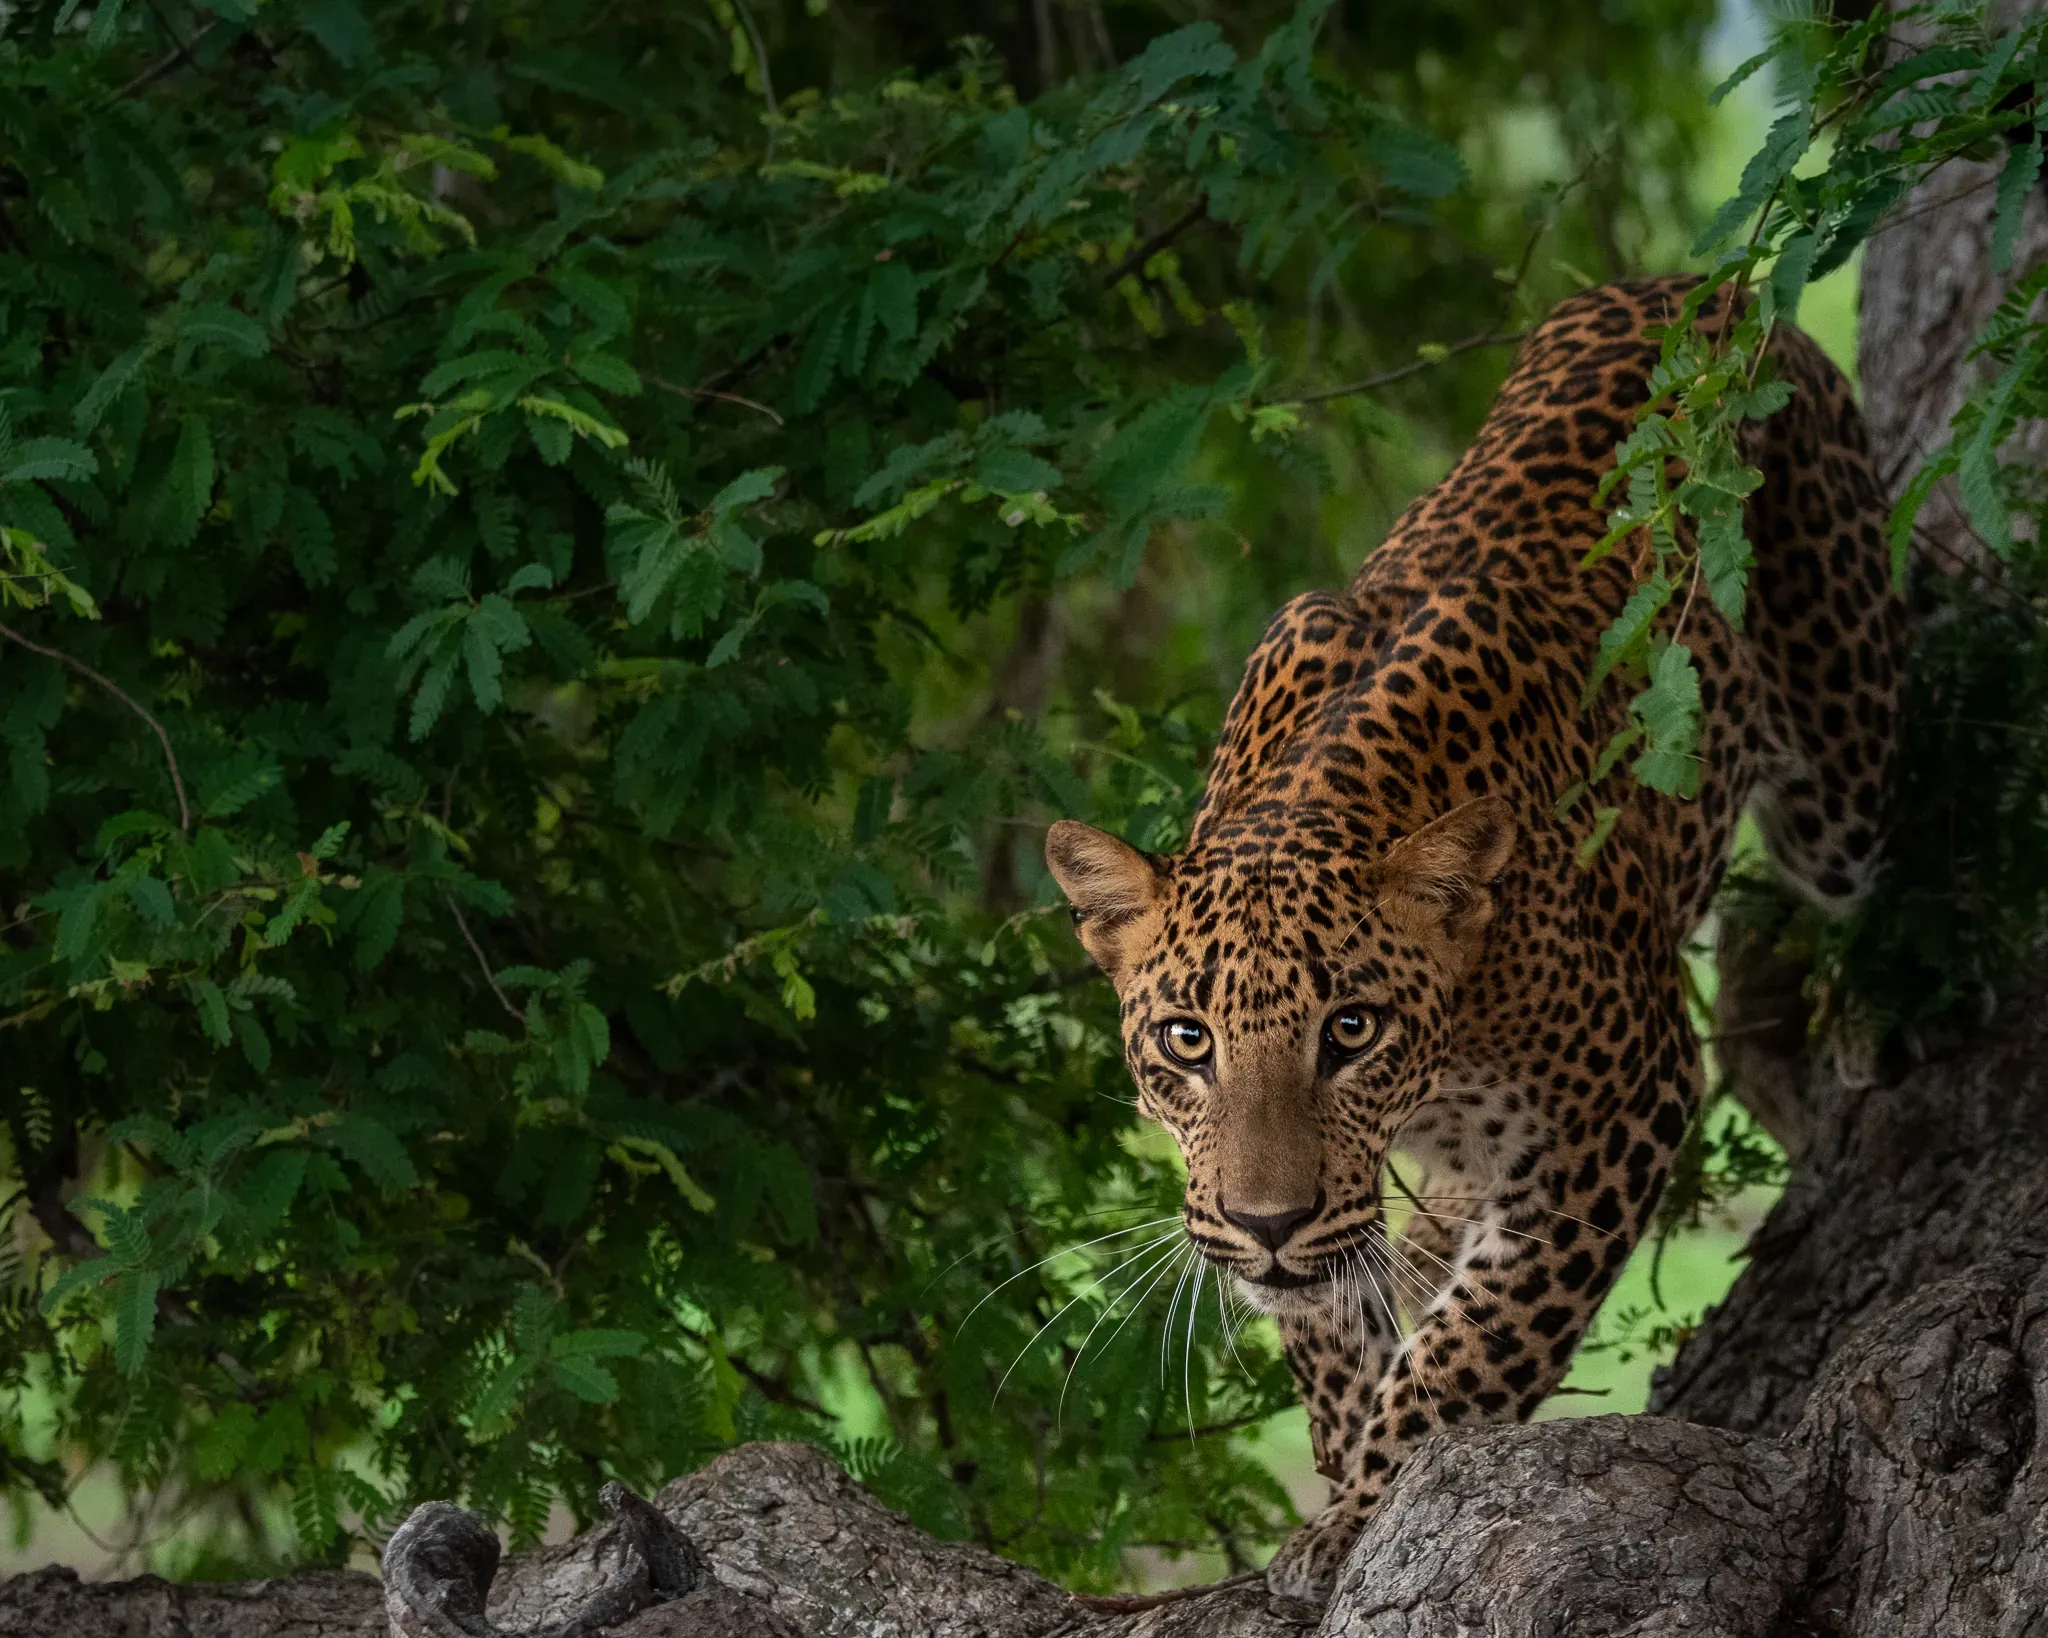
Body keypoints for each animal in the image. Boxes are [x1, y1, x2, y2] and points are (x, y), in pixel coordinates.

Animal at [1044, 275, 1902, 1604]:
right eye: (1185, 1042)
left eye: (1350, 1031)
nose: (1263, 1225)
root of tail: (1690, 284)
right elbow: (1335, 1328)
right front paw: (1344, 1463)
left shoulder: (1630, 1094)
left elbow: (1483, 1334)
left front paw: (1370, 1500)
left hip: (1839, 774)